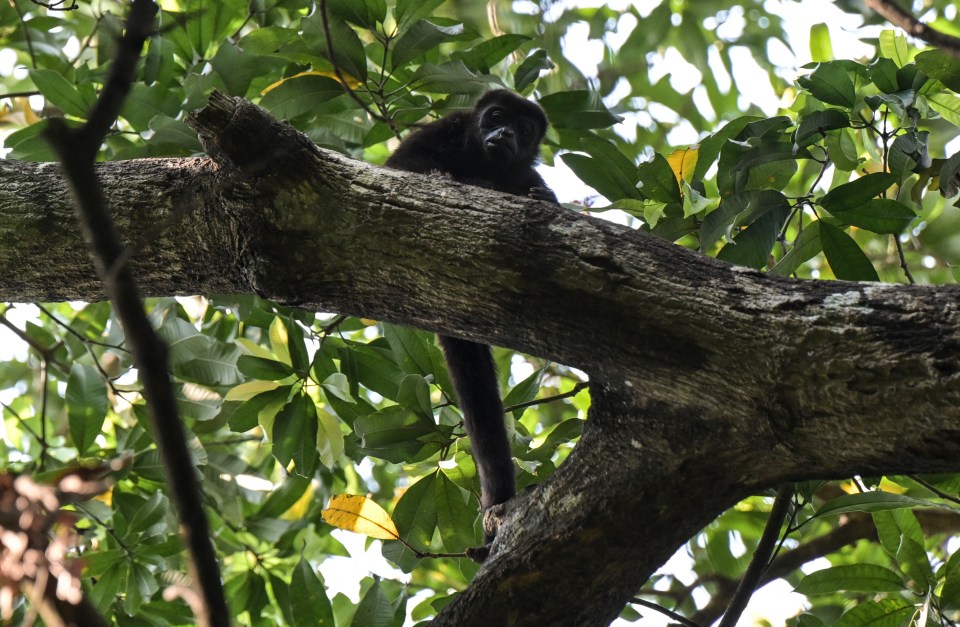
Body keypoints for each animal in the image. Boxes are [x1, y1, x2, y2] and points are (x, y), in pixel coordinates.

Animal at [386, 89, 560, 544]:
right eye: (496, 117)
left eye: (523, 129)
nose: (504, 133)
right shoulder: (442, 129)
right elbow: (400, 168)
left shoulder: (524, 172)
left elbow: (539, 193)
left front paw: (542, 200)